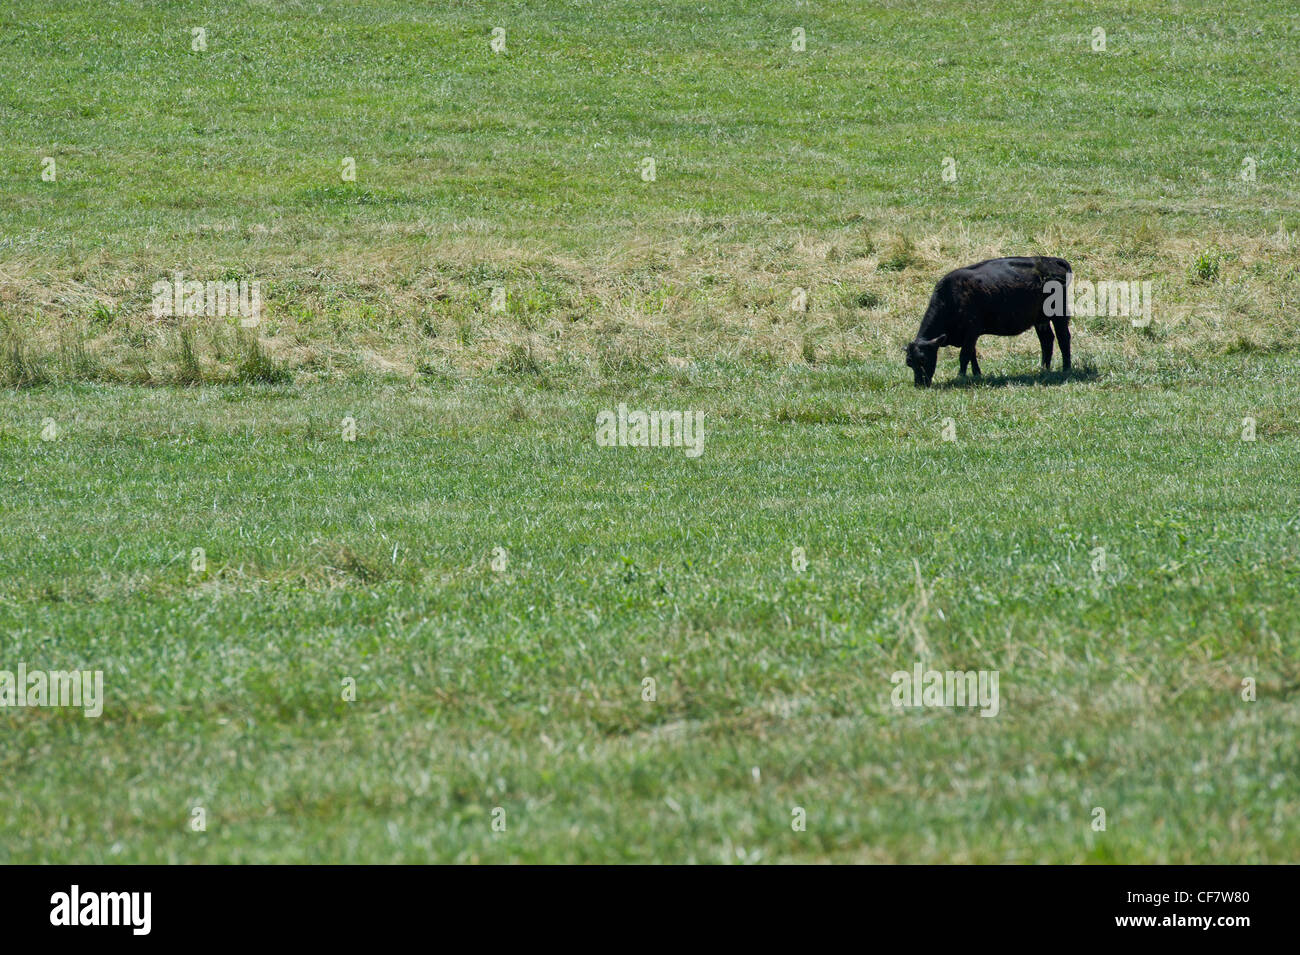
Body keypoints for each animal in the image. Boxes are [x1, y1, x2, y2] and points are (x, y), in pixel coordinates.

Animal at [904, 257, 1076, 389]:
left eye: (923, 359)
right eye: (909, 363)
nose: (919, 385)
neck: (951, 297)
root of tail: (1051, 260)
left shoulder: (971, 331)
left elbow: (964, 355)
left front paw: (961, 376)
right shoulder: (968, 336)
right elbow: (972, 354)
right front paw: (977, 374)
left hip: (1058, 315)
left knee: (1063, 338)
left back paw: (1066, 368)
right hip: (1040, 319)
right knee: (1047, 340)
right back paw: (1043, 369)